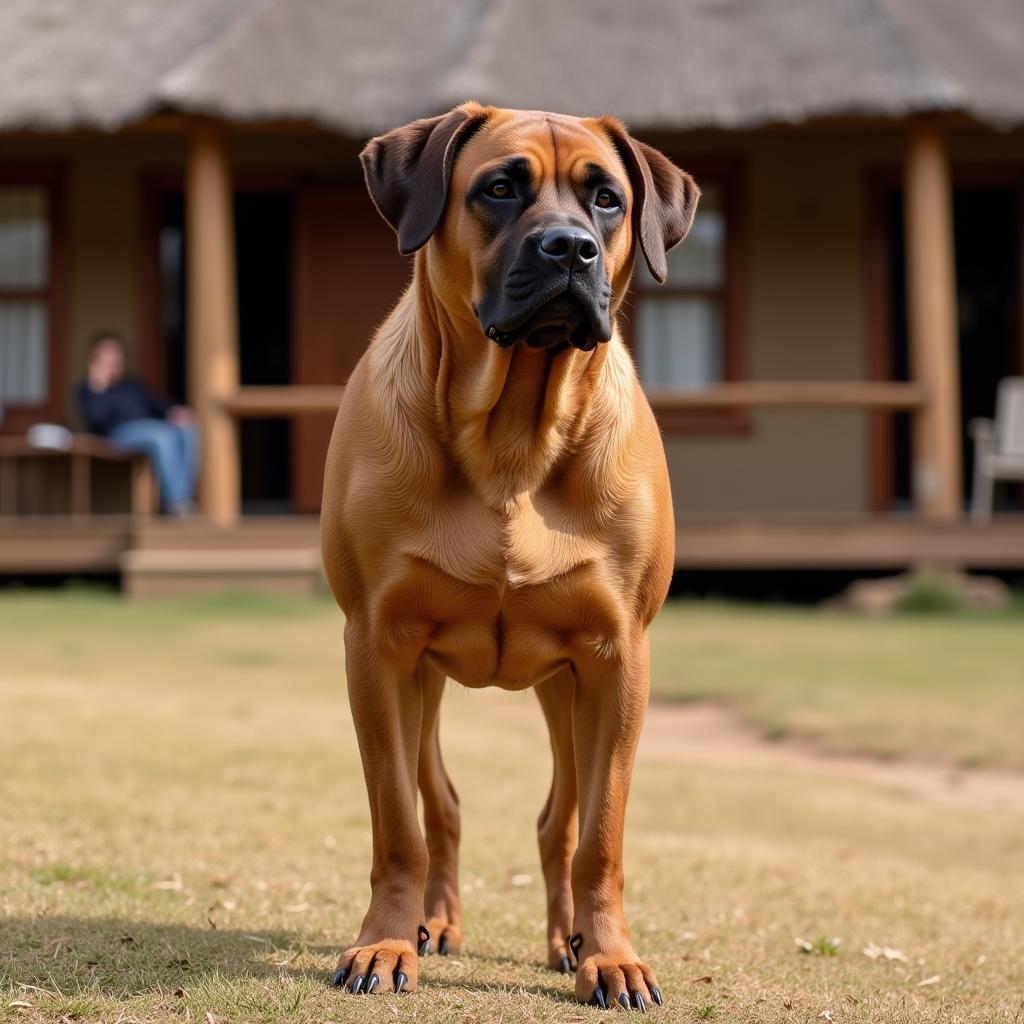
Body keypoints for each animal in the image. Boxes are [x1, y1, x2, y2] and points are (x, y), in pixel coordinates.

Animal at [323, 103, 700, 1007]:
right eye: (499, 188)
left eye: (606, 198)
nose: (570, 248)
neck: (512, 439)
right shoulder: (377, 647)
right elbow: (400, 820)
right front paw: (387, 942)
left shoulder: (616, 658)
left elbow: (600, 833)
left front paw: (609, 954)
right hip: (422, 682)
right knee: (442, 804)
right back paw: (436, 921)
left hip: (567, 690)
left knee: (559, 820)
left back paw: (568, 939)